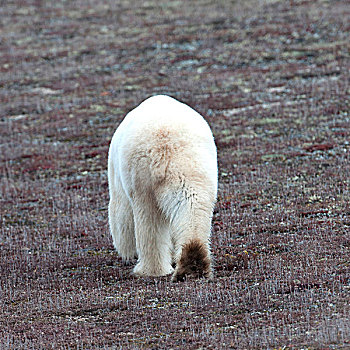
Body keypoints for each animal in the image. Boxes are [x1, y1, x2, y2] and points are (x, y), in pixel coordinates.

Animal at [108, 94, 217, 280]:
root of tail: (164, 147)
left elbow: (120, 213)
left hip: (141, 178)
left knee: (148, 219)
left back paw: (149, 270)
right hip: (197, 168)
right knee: (193, 204)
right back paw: (193, 264)